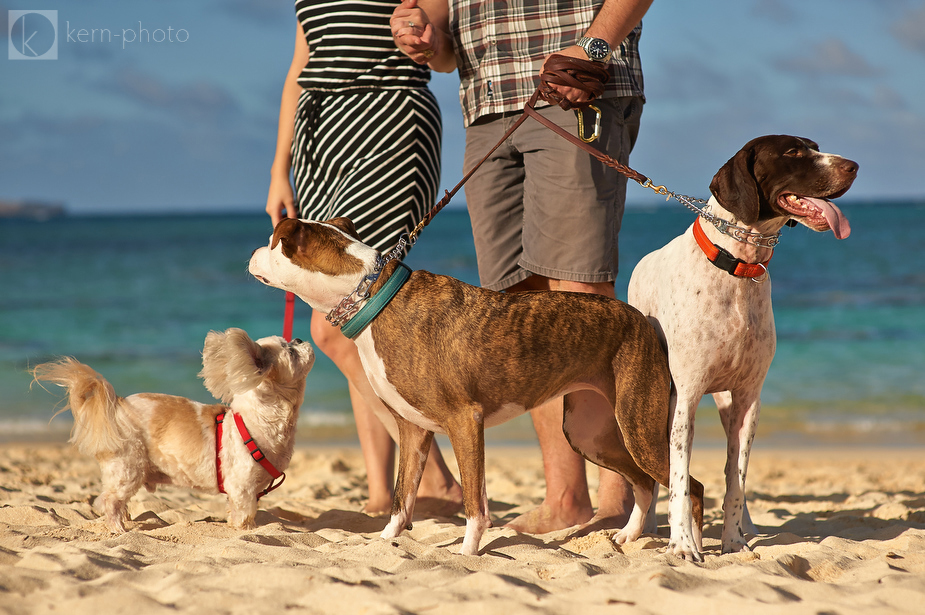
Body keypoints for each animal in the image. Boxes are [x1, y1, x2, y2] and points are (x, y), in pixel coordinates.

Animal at [32, 328, 314, 536]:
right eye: (291, 352)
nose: (299, 339)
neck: (261, 419)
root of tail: (117, 406)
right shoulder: (243, 488)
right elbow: (245, 517)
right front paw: (247, 532)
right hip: (128, 467)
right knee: (110, 501)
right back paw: (118, 529)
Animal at [249, 215, 704, 552]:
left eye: (271, 242)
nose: (252, 253)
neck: (374, 295)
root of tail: (643, 321)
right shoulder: (413, 431)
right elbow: (401, 500)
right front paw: (383, 541)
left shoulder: (465, 421)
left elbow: (474, 504)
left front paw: (468, 553)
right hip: (592, 433)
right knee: (645, 482)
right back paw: (628, 536)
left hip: (637, 428)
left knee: (690, 487)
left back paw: (690, 550)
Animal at [628, 136, 860, 564]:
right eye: (792, 152)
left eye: (815, 146)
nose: (852, 166)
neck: (737, 266)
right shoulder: (683, 399)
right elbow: (679, 479)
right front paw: (681, 545)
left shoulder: (749, 397)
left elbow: (736, 477)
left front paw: (734, 542)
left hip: (725, 403)